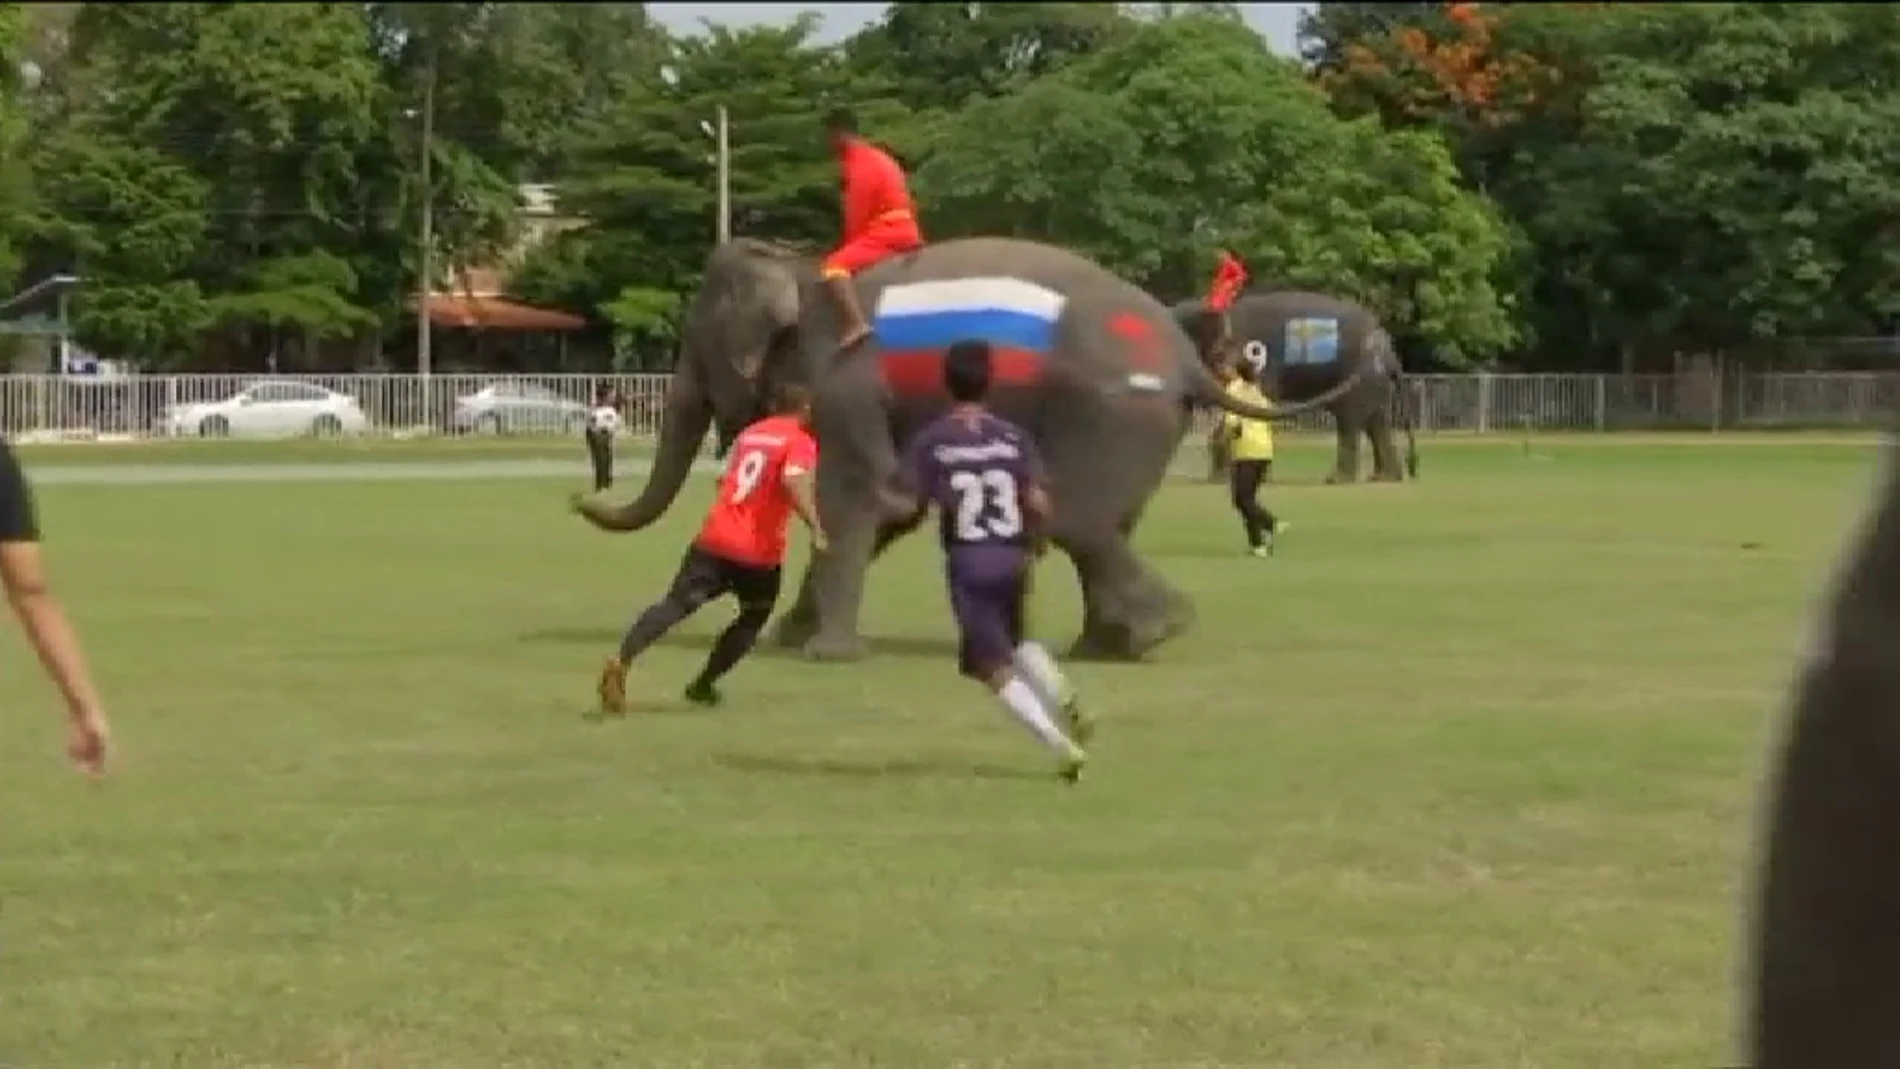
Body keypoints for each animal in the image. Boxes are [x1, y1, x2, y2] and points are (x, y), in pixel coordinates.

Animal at [573, 238, 1352, 664]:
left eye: (696, 348)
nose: (581, 494)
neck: (803, 266)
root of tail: (1187, 358)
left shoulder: (847, 384)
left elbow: (858, 496)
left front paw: (823, 652)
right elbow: (890, 507)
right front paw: (793, 638)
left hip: (1110, 414)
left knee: (1078, 522)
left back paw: (1152, 631)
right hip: (1136, 426)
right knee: (1099, 526)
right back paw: (1108, 643)